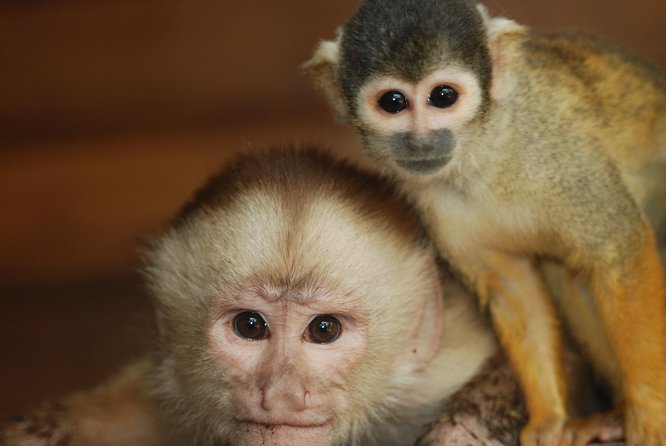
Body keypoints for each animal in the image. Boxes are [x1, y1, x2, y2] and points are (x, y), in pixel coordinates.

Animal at [304, 1, 666, 445]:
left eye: (443, 96)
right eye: (393, 102)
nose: (422, 141)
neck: (482, 154)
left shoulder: (560, 152)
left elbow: (619, 249)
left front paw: (651, 415)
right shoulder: (436, 202)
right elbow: (513, 286)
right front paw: (550, 419)